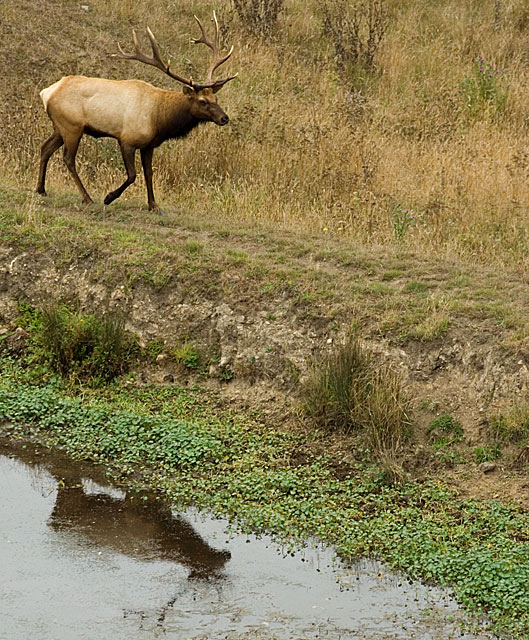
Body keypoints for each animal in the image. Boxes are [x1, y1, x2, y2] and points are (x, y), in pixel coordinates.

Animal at [34, 12, 235, 212]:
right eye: (202, 101)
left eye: (216, 99)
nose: (224, 118)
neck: (159, 119)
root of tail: (47, 93)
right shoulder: (127, 140)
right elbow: (132, 175)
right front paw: (109, 197)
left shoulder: (149, 145)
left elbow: (149, 173)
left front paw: (153, 205)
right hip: (72, 127)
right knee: (68, 159)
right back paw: (87, 198)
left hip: (61, 127)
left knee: (45, 148)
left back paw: (41, 189)